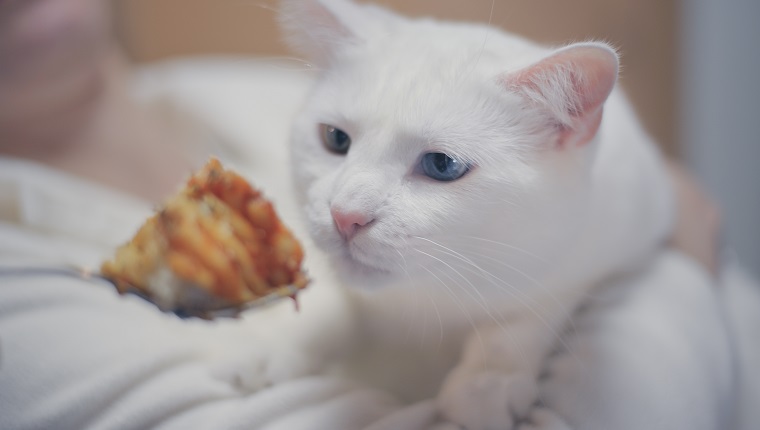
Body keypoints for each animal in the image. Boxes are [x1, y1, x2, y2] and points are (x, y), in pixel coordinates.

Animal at [239, 0, 760, 430]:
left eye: (441, 165)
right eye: (335, 139)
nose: (346, 216)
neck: (424, 301)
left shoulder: (620, 240)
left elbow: (530, 312)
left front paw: (488, 384)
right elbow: (334, 297)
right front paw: (279, 341)